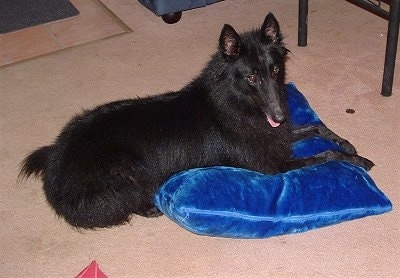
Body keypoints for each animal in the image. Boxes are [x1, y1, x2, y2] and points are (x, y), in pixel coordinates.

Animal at [20, 13, 374, 229]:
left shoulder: (278, 138)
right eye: (251, 77)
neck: (236, 103)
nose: (280, 116)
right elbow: (326, 156)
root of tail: (55, 163)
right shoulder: (272, 165)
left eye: (274, 70)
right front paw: (357, 160)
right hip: (128, 168)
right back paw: (149, 208)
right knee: (120, 203)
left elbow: (318, 128)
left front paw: (347, 143)